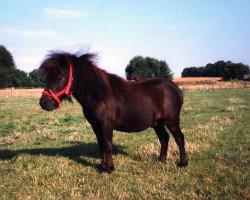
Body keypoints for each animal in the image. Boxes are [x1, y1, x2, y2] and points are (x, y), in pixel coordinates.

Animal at [39, 51, 188, 173]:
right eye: (47, 77)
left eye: (59, 77)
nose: (44, 103)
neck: (98, 95)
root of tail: (175, 88)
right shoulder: (96, 126)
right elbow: (101, 145)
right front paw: (102, 166)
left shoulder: (106, 125)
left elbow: (107, 145)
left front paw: (109, 168)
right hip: (157, 123)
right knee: (164, 138)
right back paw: (161, 160)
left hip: (171, 121)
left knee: (179, 138)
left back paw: (183, 163)